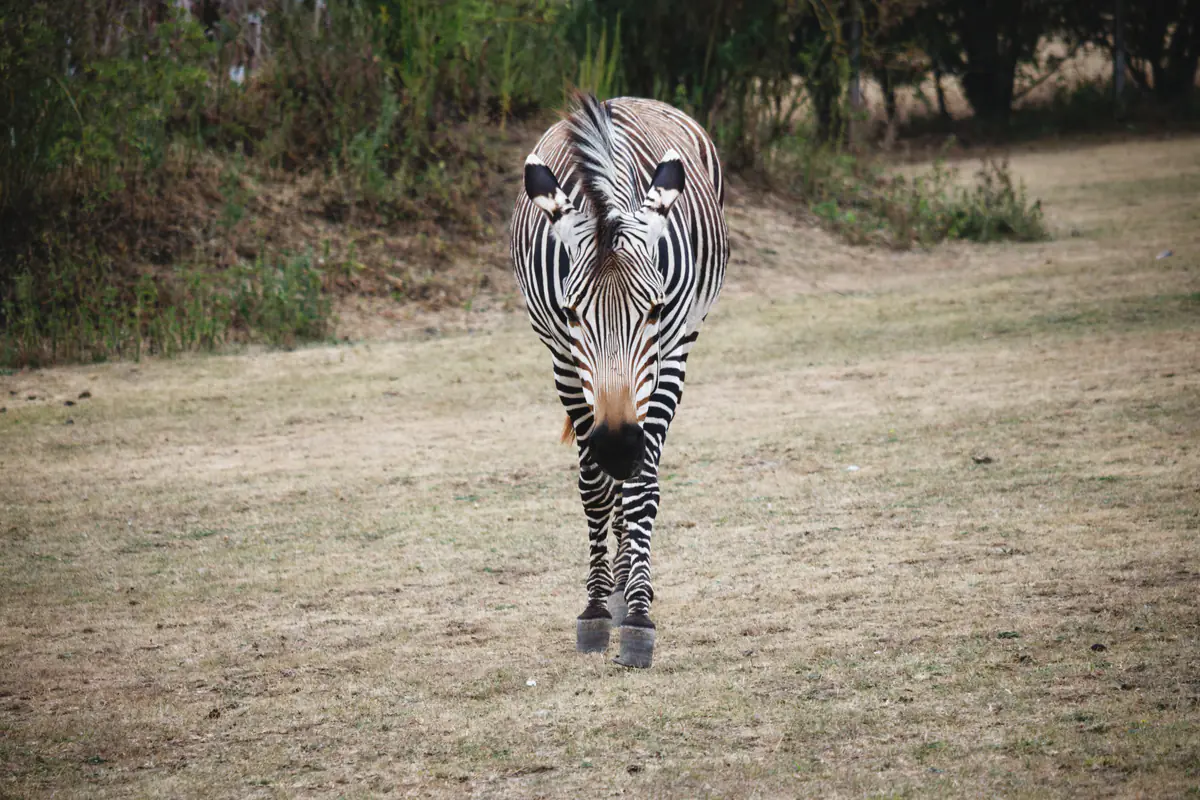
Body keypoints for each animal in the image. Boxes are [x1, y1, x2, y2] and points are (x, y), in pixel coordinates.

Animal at [509, 93, 729, 668]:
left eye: (654, 310)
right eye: (571, 312)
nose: (616, 444)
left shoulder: (669, 351)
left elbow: (642, 486)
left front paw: (638, 615)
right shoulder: (564, 361)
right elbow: (593, 488)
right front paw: (594, 607)